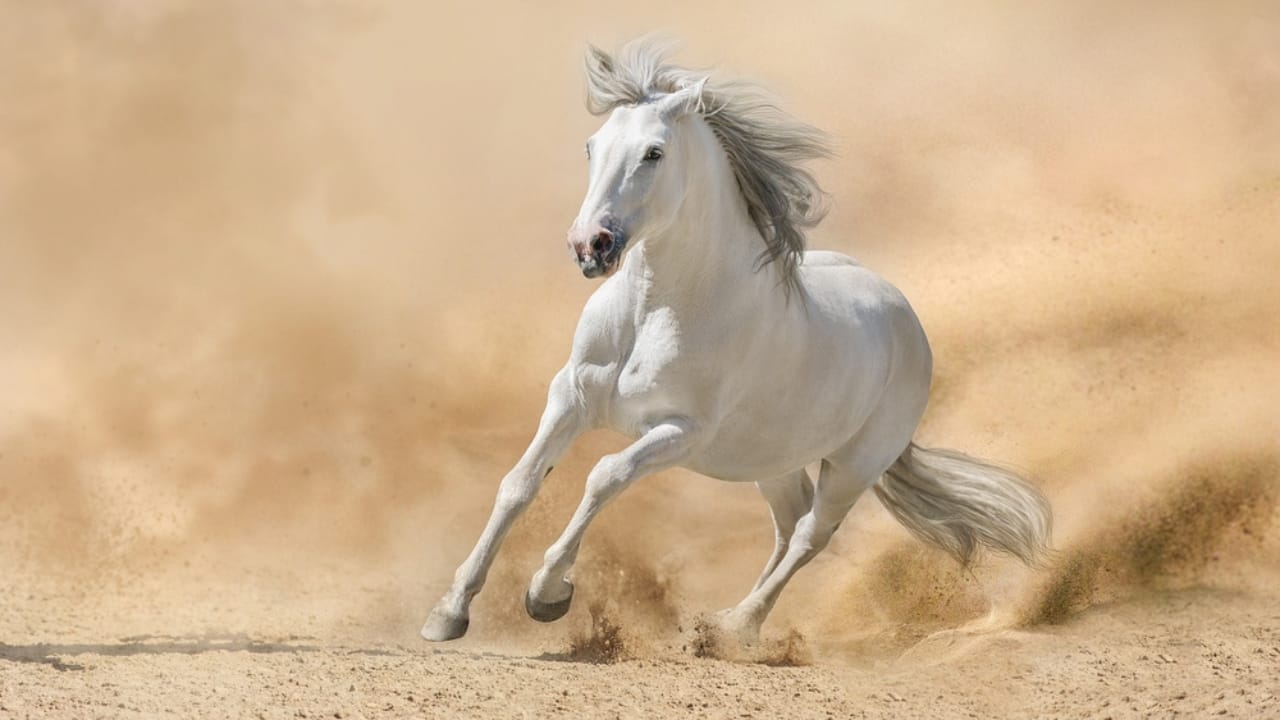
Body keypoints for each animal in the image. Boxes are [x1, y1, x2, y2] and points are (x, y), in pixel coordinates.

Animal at [421, 38, 1051, 645]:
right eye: (591, 147)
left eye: (654, 153)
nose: (589, 246)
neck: (653, 313)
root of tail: (909, 323)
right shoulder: (570, 396)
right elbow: (518, 484)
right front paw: (449, 613)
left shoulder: (679, 433)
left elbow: (603, 476)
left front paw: (547, 593)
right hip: (773, 461)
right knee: (787, 526)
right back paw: (725, 620)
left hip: (853, 466)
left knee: (810, 536)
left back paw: (735, 628)